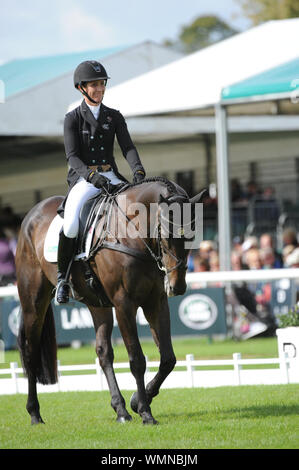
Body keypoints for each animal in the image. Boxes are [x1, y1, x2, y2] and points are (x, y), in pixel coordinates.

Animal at [15, 178, 205, 424]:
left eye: (192, 235)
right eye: (165, 234)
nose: (177, 287)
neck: (133, 233)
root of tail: (31, 215)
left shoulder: (156, 302)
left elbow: (168, 359)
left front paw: (136, 401)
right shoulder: (124, 304)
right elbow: (137, 360)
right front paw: (145, 412)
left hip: (98, 305)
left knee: (103, 352)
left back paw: (121, 410)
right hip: (33, 303)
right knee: (30, 352)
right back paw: (35, 413)